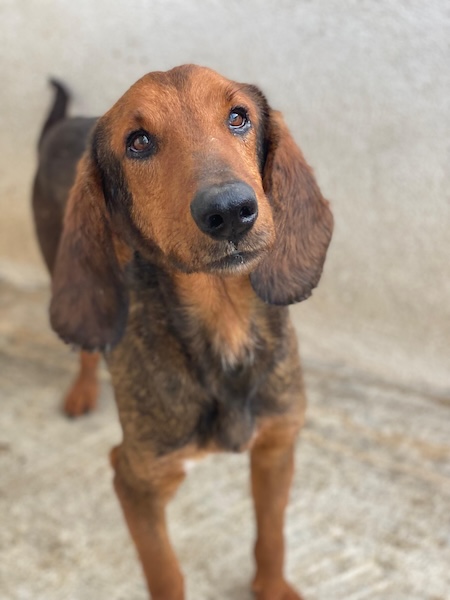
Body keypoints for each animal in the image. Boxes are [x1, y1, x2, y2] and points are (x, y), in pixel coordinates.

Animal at [32, 65, 333, 600]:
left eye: (238, 117)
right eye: (138, 142)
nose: (231, 210)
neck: (224, 325)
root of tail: (63, 127)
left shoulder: (277, 445)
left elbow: (272, 535)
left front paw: (272, 587)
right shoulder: (136, 480)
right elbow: (166, 574)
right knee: (88, 340)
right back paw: (83, 389)